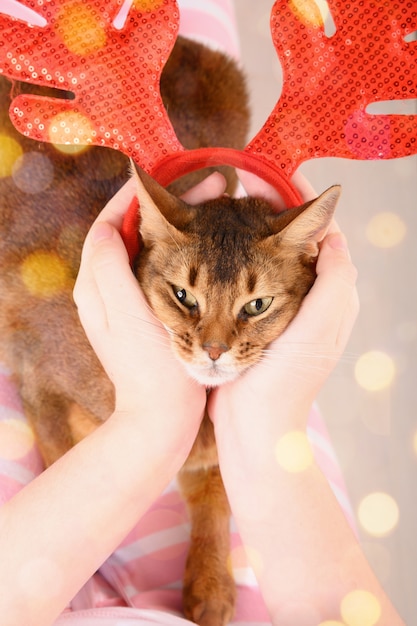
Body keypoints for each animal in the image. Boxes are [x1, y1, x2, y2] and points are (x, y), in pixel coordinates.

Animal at [0, 35, 338, 624]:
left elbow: (218, 492)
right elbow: (62, 460)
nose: (214, 350)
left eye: (257, 304)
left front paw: (210, 586)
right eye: (183, 295)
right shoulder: (37, 380)